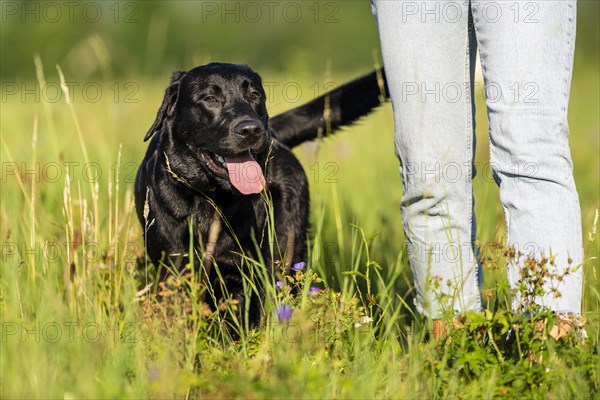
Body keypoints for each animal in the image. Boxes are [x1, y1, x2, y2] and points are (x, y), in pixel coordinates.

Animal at [135, 62, 386, 324]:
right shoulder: (173, 270)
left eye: (254, 95)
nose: (251, 129)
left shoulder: (242, 272)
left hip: (287, 249)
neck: (211, 199)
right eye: (210, 98)